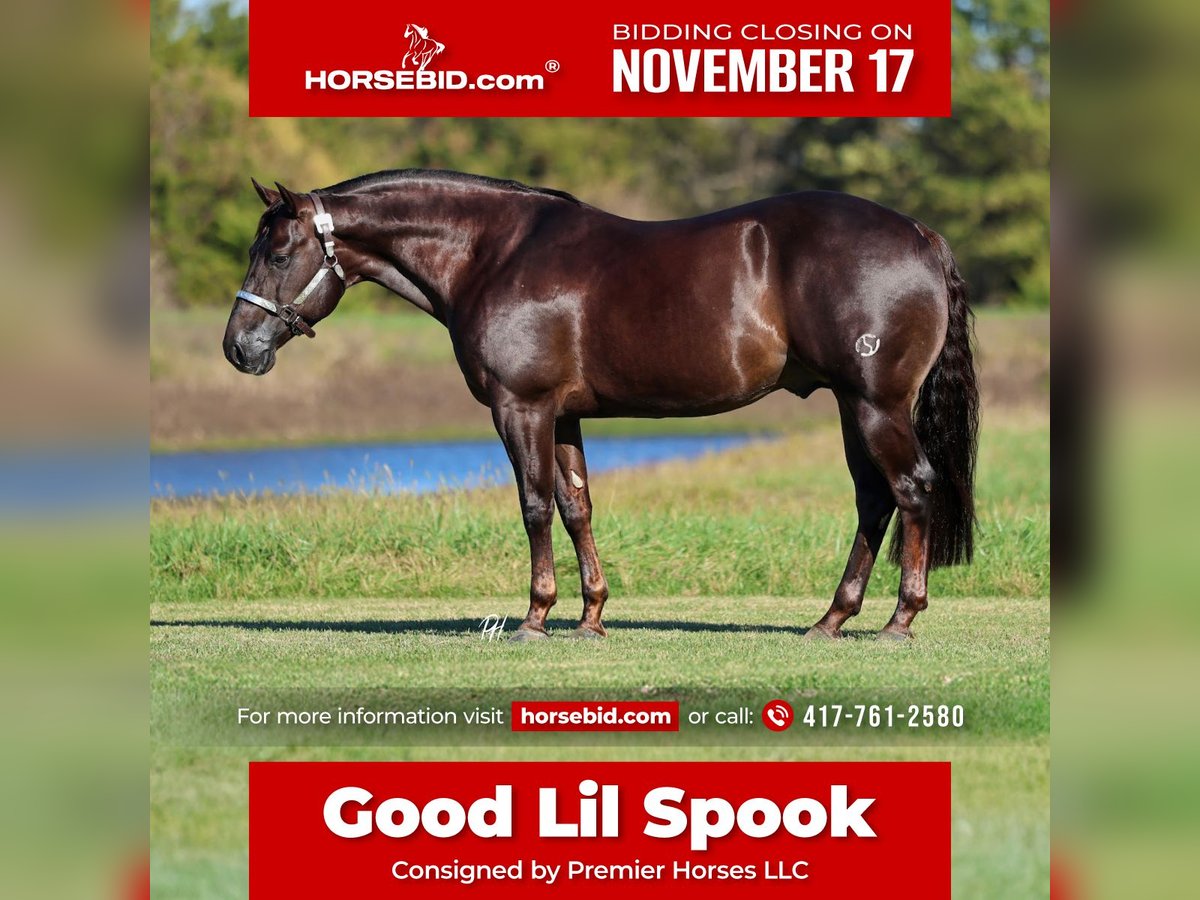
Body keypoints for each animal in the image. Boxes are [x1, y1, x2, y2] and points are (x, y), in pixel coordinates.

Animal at [224, 169, 979, 642]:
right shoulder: (563, 415)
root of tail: (921, 235)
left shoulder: (520, 408)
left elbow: (533, 506)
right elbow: (576, 506)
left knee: (911, 489)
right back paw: (830, 619)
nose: (238, 347)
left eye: (279, 251)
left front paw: (534, 617)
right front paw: (590, 617)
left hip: (876, 404)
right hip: (855, 406)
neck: (493, 254)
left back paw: (899, 621)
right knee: (874, 501)